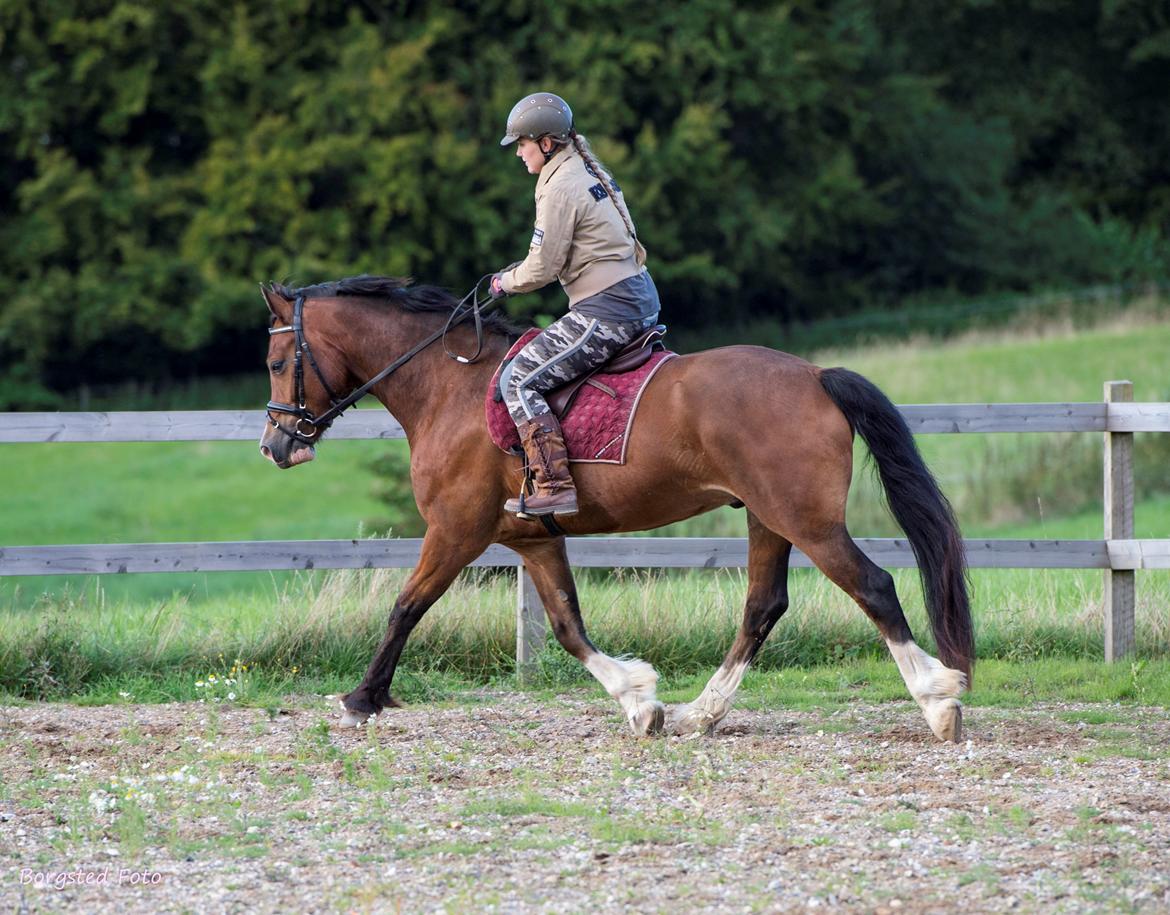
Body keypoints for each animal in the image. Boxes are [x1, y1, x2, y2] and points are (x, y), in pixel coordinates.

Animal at [260, 276, 973, 739]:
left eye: (274, 360)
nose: (276, 445)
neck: (449, 387)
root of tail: (816, 375)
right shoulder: (534, 540)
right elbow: (568, 626)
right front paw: (639, 700)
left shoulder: (456, 531)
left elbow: (406, 607)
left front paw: (362, 698)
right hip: (767, 518)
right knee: (763, 606)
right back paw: (699, 714)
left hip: (806, 520)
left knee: (872, 586)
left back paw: (938, 699)